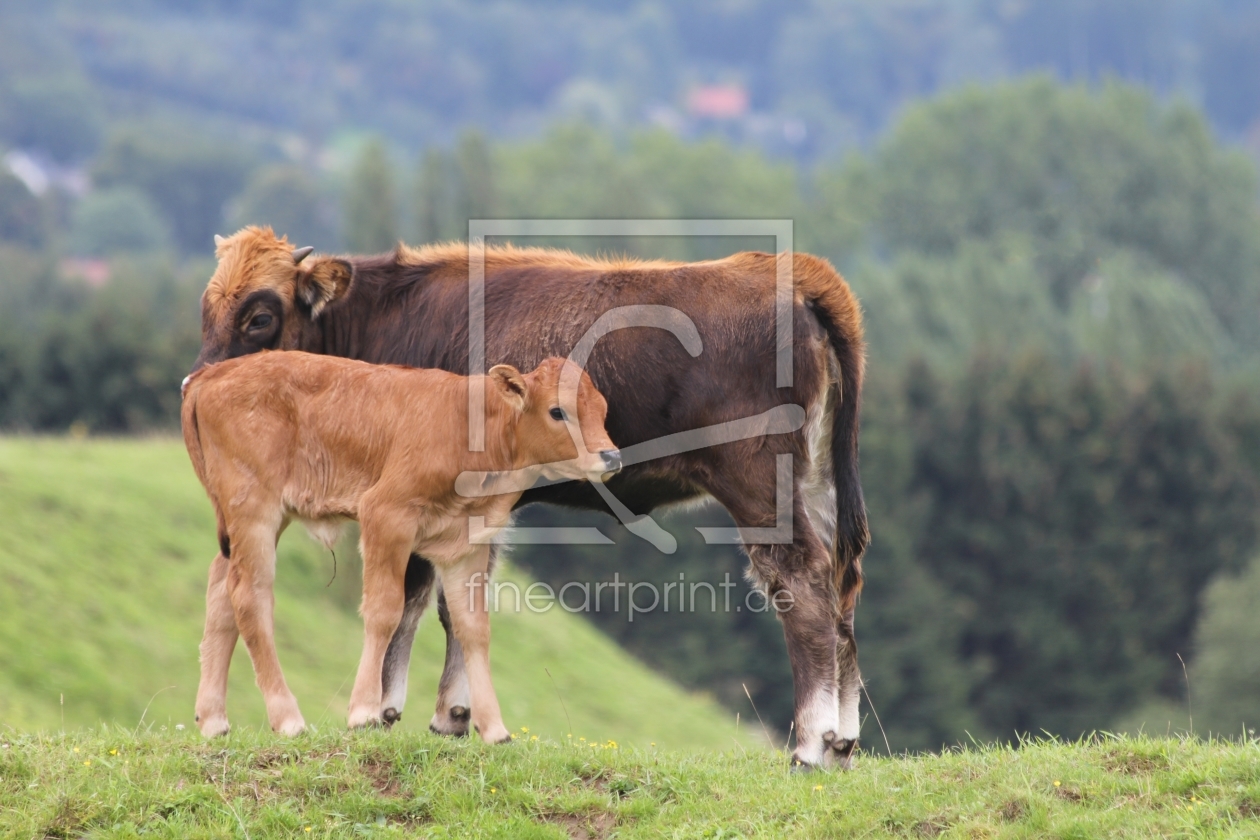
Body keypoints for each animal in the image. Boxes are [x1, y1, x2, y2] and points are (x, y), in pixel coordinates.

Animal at [182, 352, 619, 740]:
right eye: (558, 411)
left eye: (602, 408)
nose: (611, 456)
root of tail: (214, 372)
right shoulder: (385, 516)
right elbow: (385, 612)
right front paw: (363, 712)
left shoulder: (466, 546)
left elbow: (473, 627)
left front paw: (494, 729)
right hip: (254, 508)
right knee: (250, 598)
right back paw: (288, 718)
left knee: (221, 592)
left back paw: (213, 719)